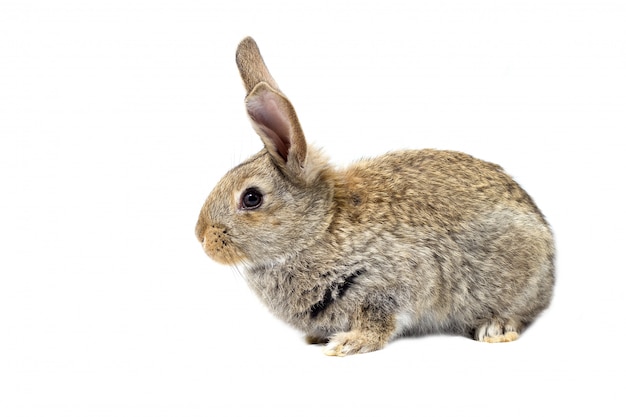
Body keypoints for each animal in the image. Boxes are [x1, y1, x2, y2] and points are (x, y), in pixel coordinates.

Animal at [194, 36, 552, 354]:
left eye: (251, 198)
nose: (201, 236)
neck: (319, 227)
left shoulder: (393, 282)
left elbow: (380, 318)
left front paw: (349, 344)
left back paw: (495, 327)